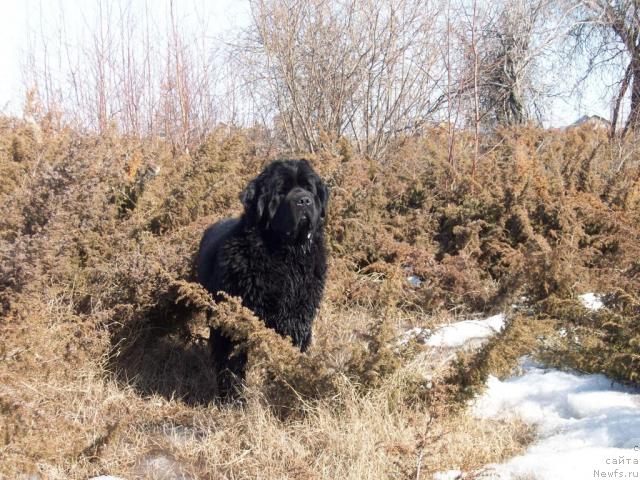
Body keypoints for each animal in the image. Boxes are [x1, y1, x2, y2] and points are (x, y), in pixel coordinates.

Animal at [196, 159, 330, 396]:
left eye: (309, 188)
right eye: (281, 191)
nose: (304, 200)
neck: (286, 257)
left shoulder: (297, 318)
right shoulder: (235, 318)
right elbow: (231, 361)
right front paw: (233, 397)